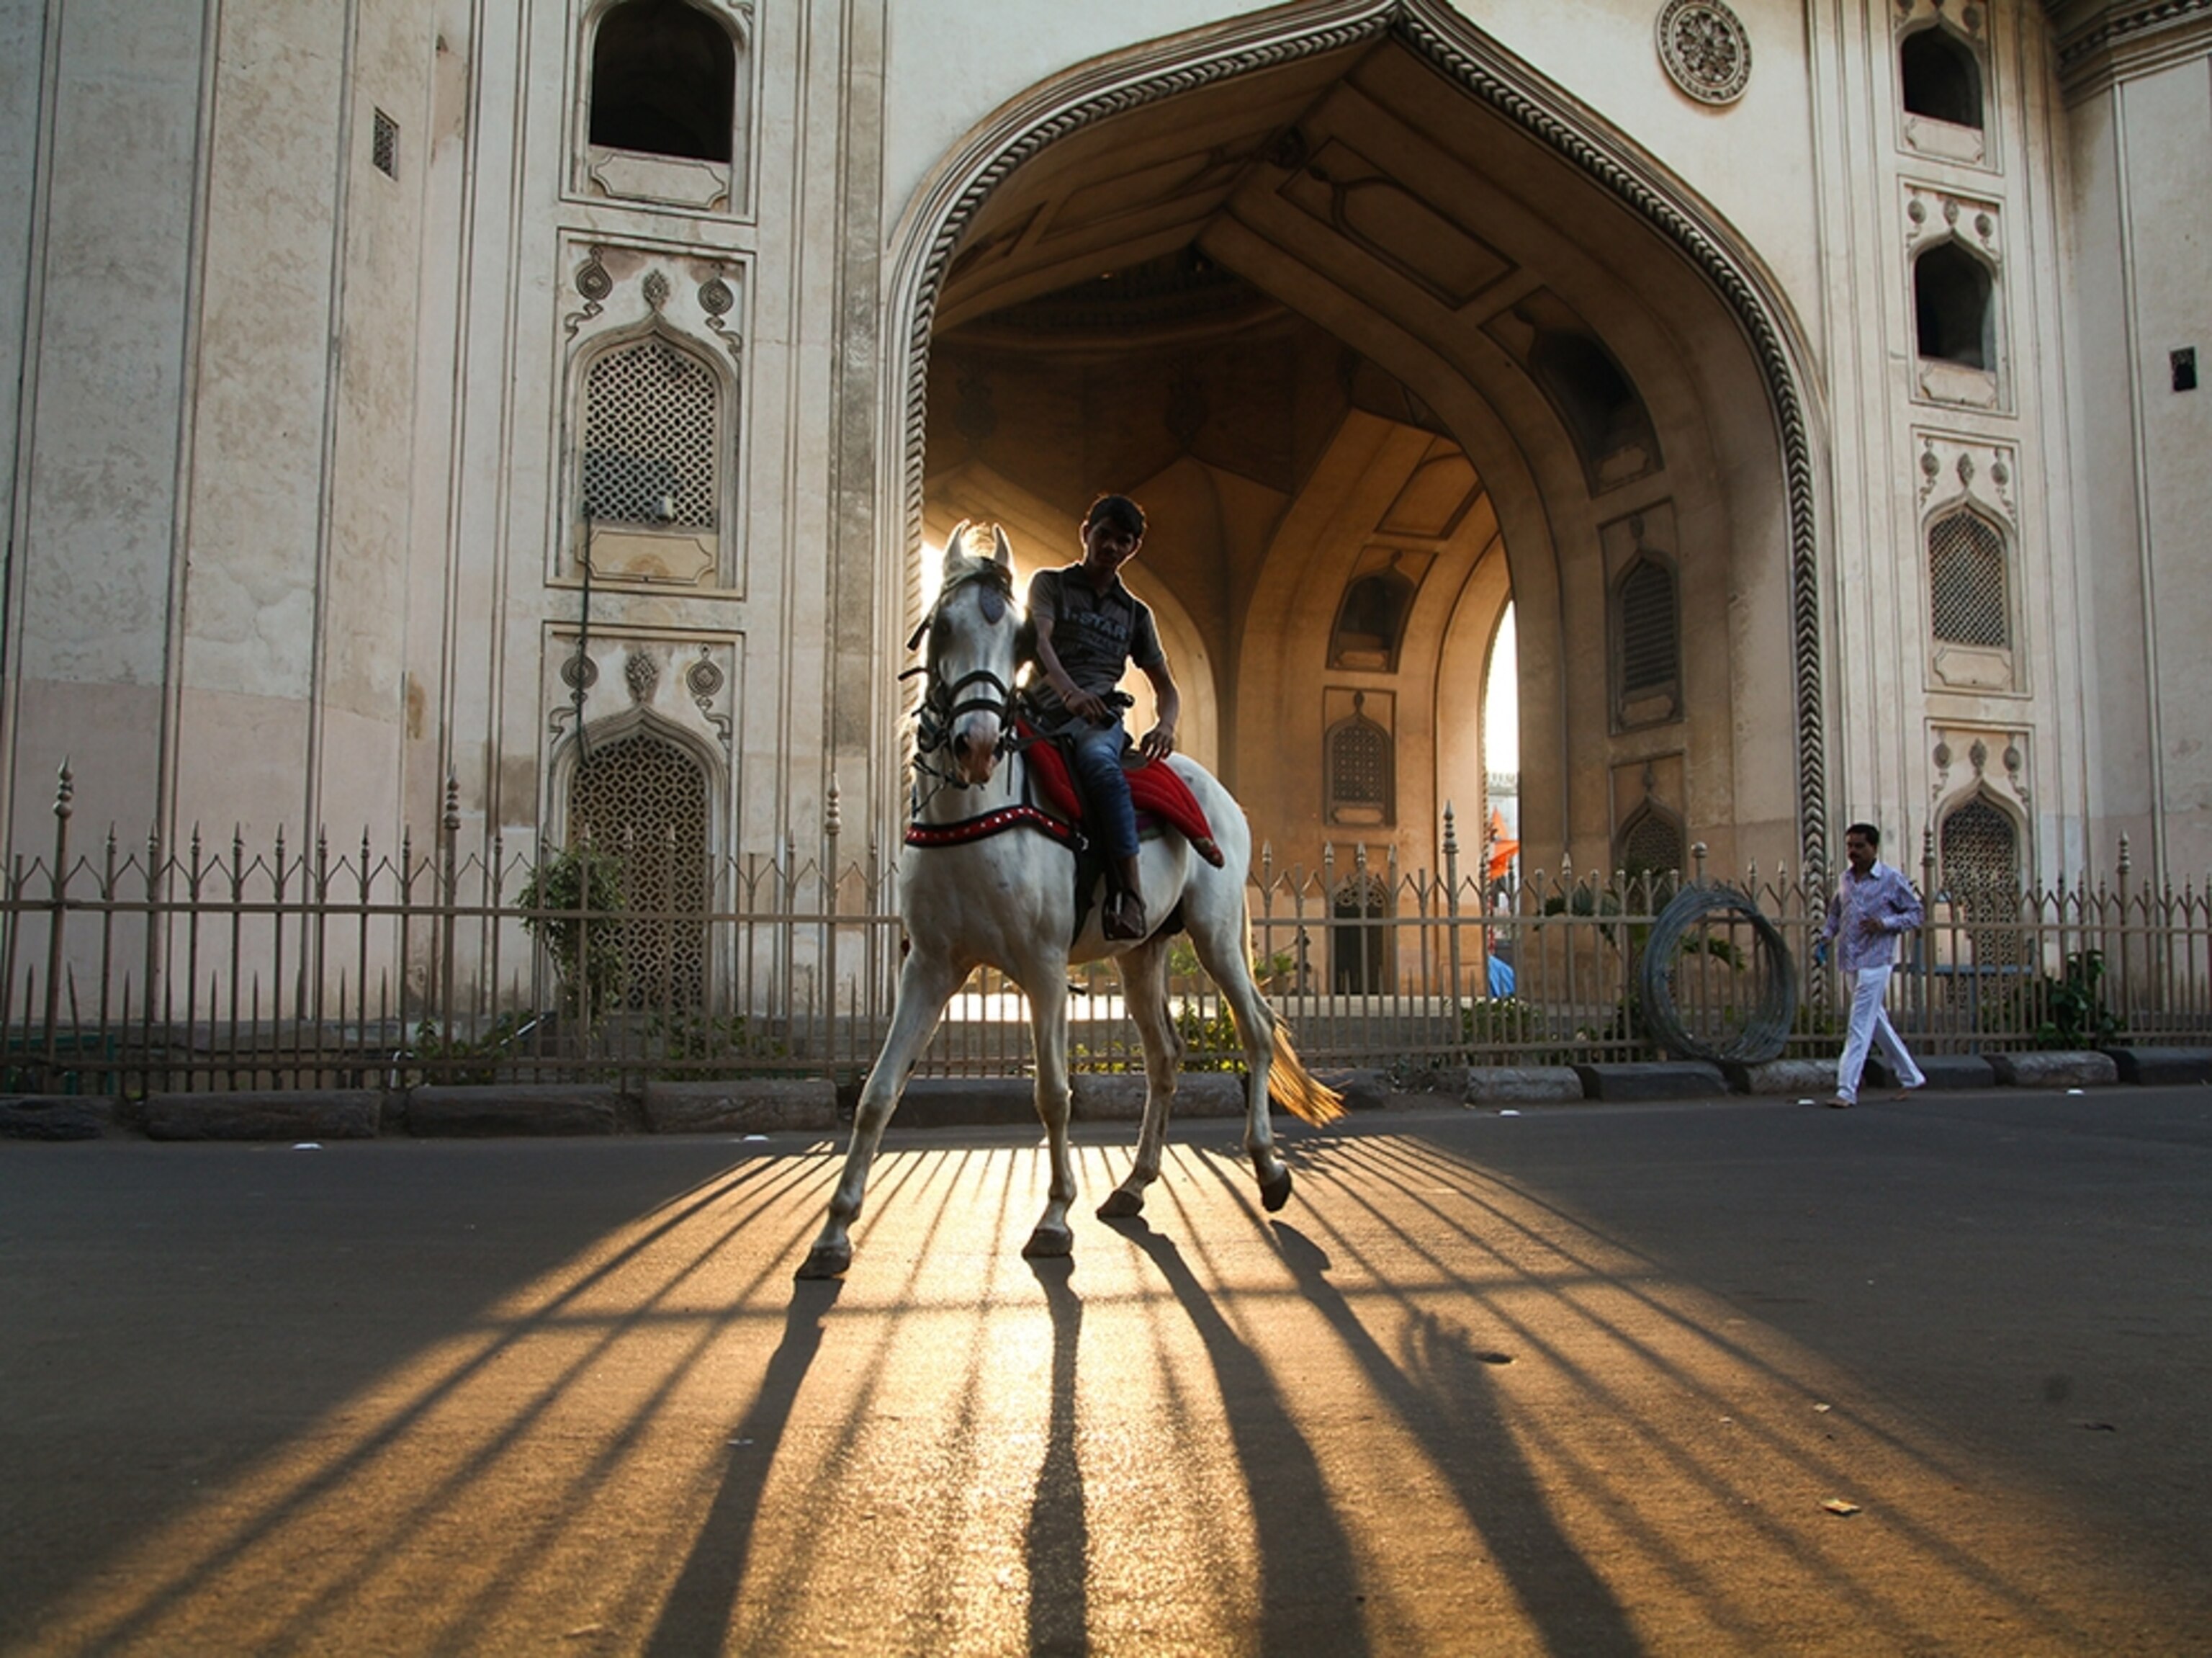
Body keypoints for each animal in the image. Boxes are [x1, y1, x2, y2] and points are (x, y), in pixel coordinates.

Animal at [805, 524, 1336, 1275]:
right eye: (943, 627)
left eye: (1021, 640)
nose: (975, 743)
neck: (977, 816)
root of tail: (1208, 783)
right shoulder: (931, 965)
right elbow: (878, 1093)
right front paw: (834, 1231)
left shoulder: (1044, 964)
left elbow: (1054, 1093)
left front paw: (1055, 1217)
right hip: (1142, 949)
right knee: (1164, 1054)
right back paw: (1134, 1184)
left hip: (1216, 929)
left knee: (1256, 1028)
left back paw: (1266, 1167)